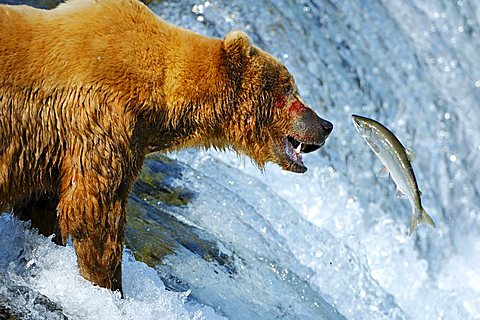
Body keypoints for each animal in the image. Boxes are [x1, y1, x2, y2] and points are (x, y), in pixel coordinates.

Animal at [0, 0, 330, 294]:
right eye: (289, 90)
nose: (326, 124)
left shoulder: (53, 149)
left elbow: (43, 206)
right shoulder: (103, 122)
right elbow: (95, 211)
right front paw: (108, 287)